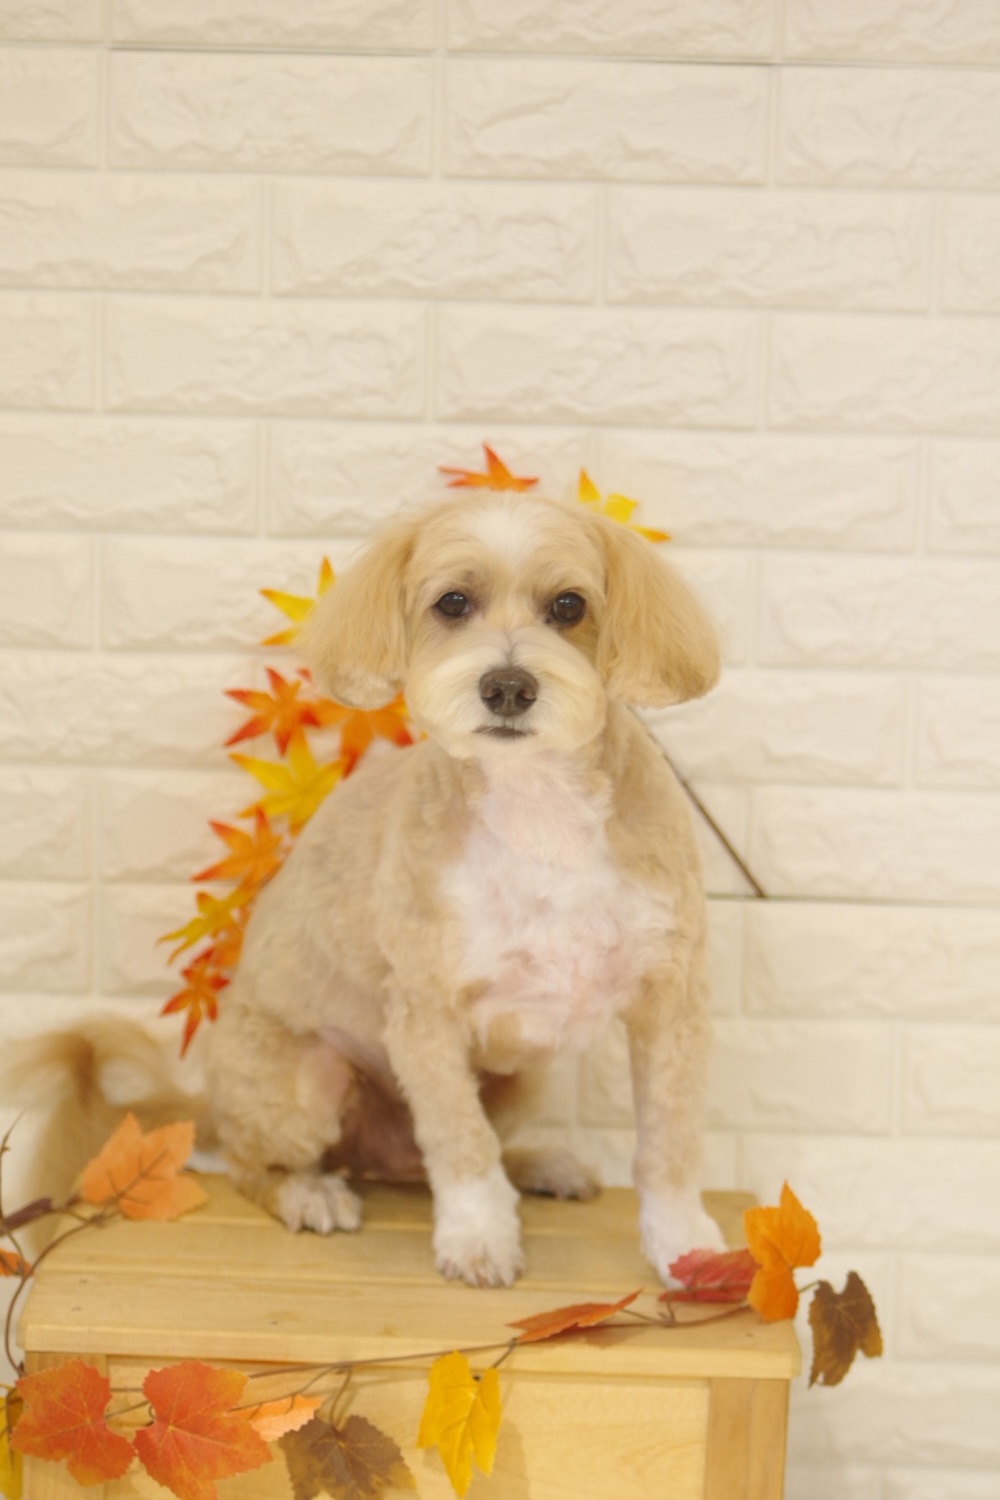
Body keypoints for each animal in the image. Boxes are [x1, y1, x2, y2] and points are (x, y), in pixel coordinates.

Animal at [4, 489, 724, 1287]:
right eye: (452, 603)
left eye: (569, 605)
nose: (507, 686)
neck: (537, 807)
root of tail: (206, 1098)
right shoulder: (426, 1015)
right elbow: (460, 1142)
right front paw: (479, 1238)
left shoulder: (672, 1001)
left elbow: (670, 1145)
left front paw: (684, 1246)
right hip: (305, 1081)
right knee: (257, 1163)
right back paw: (309, 1193)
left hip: (521, 1077)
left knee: (442, 1152)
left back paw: (538, 1163)